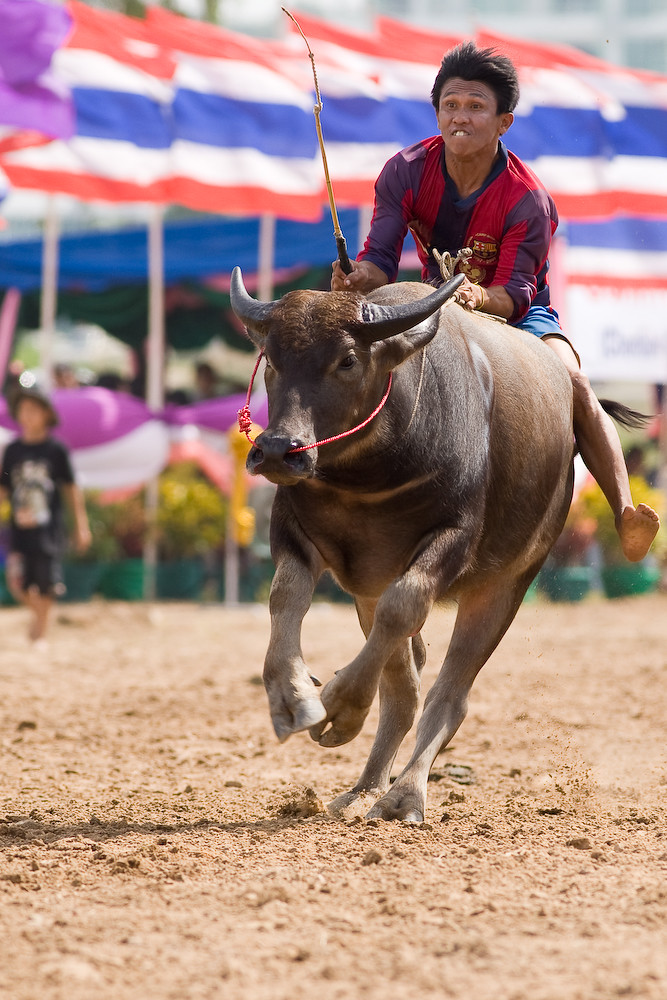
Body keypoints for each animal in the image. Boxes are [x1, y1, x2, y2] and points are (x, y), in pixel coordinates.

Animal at [230, 266, 575, 823]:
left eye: (348, 360)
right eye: (273, 362)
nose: (280, 450)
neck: (367, 478)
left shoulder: (452, 540)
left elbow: (405, 605)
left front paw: (340, 706)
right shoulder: (295, 532)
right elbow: (285, 598)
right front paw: (292, 698)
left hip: (507, 584)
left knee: (447, 695)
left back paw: (404, 794)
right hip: (369, 584)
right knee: (403, 690)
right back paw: (364, 788)